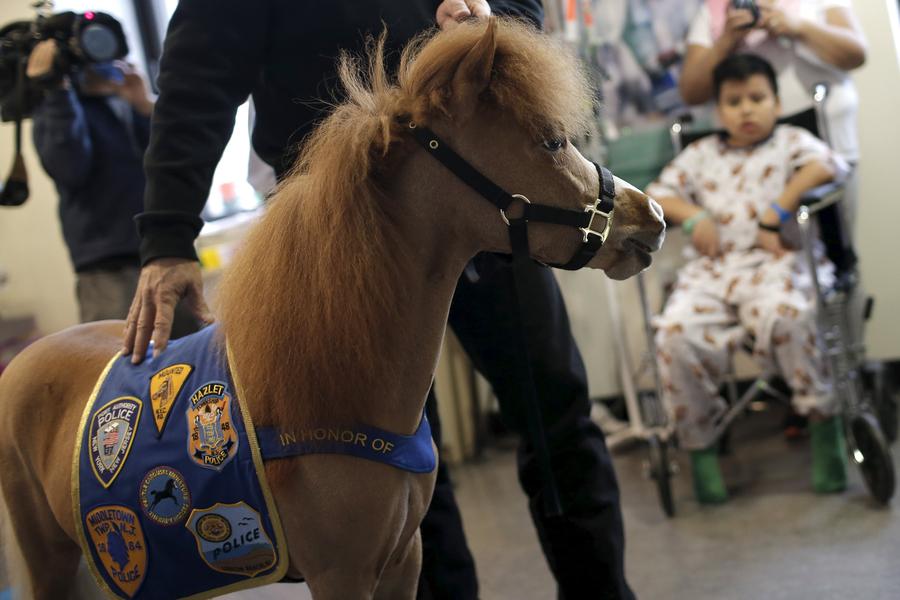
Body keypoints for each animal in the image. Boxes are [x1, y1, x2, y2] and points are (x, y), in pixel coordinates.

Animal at [0, 18, 665, 600]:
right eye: (551, 141)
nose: (650, 219)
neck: (330, 379)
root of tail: (24, 361)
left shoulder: (403, 561)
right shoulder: (340, 575)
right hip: (51, 561)